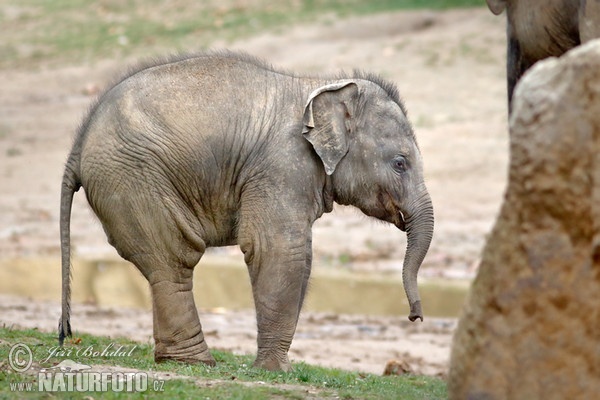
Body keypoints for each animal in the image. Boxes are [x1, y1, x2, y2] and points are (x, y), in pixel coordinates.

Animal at [58, 50, 434, 372]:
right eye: (400, 163)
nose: (415, 317)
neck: (319, 86)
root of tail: (77, 146)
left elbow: (299, 257)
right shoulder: (281, 167)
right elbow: (279, 251)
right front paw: (274, 370)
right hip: (133, 178)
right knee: (174, 260)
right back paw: (195, 363)